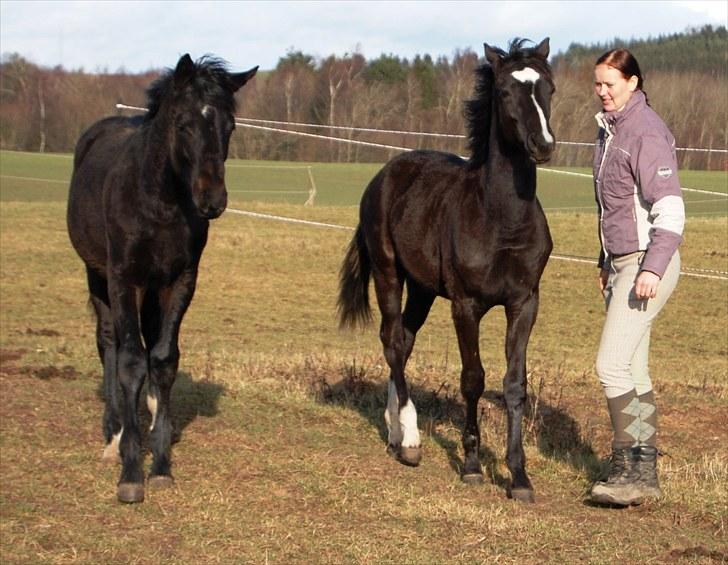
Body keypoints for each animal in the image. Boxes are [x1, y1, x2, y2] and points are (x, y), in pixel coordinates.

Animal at [65, 54, 258, 502]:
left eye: (229, 126)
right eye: (183, 123)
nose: (212, 200)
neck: (158, 203)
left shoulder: (179, 280)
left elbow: (164, 359)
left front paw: (161, 462)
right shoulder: (123, 279)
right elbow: (131, 360)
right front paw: (131, 471)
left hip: (153, 289)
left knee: (151, 342)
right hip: (98, 276)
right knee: (109, 344)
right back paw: (114, 435)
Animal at [338, 37, 556, 500]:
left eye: (549, 87)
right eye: (505, 92)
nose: (543, 144)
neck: (501, 219)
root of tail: (385, 173)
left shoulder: (525, 303)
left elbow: (515, 383)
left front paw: (519, 477)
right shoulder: (465, 305)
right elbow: (472, 378)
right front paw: (472, 466)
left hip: (421, 288)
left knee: (403, 339)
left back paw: (394, 431)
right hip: (388, 272)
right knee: (391, 340)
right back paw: (410, 441)